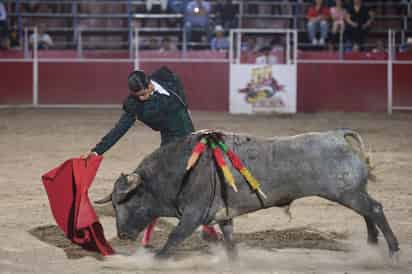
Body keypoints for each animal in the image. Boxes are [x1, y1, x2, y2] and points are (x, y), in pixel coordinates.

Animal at [96, 130, 400, 260]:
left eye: (129, 200)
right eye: (114, 204)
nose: (122, 235)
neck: (180, 170)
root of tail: (337, 135)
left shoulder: (193, 214)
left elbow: (174, 238)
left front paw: (156, 258)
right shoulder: (222, 214)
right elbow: (229, 239)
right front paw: (233, 261)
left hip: (346, 192)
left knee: (375, 210)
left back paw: (392, 251)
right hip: (351, 193)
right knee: (368, 212)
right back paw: (371, 245)